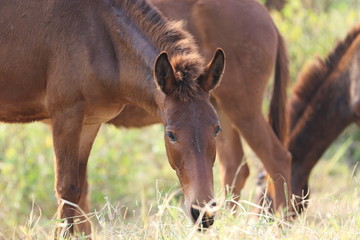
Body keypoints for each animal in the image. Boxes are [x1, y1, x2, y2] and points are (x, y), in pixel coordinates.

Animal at [0, 0, 225, 236]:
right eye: (170, 134)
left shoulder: (90, 122)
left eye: (216, 129)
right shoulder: (65, 115)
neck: (100, 35)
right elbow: (66, 189)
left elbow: (79, 191)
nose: (203, 214)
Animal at [109, 0, 292, 214]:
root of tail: (267, 18)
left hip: (244, 110)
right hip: (220, 107)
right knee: (235, 166)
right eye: (171, 135)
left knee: (277, 159)